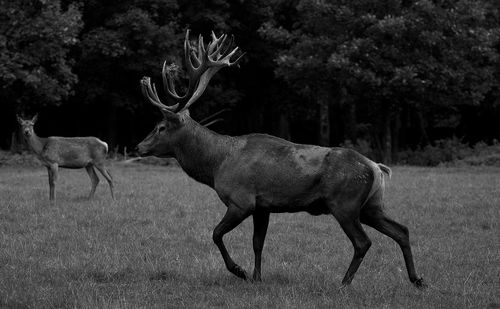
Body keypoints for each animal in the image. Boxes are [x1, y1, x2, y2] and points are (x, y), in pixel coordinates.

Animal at [137, 30, 426, 288]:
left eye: (160, 126)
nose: (139, 146)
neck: (217, 163)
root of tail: (377, 168)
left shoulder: (241, 200)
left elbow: (216, 234)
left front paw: (240, 271)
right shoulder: (262, 206)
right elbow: (257, 243)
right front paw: (256, 278)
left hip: (344, 203)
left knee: (363, 242)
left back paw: (344, 283)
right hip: (371, 205)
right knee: (402, 229)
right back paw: (417, 279)